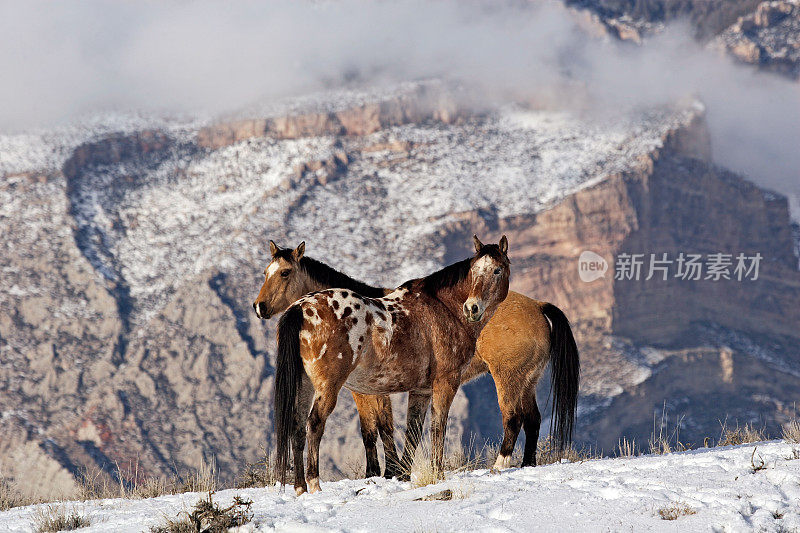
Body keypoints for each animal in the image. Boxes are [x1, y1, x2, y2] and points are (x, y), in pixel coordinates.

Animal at [270, 235, 506, 492]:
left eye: (497, 270)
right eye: (474, 271)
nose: (472, 308)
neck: (443, 309)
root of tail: (299, 308)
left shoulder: (421, 390)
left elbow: (413, 430)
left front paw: (401, 475)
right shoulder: (445, 382)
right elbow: (436, 427)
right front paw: (437, 474)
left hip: (304, 383)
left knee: (297, 425)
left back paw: (300, 487)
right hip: (327, 386)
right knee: (313, 424)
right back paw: (314, 484)